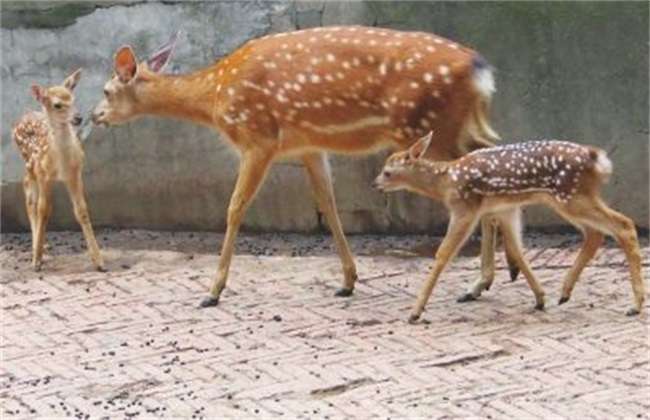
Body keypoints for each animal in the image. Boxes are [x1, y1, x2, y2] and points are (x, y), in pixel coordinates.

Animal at [12, 69, 105, 272]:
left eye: (73, 98)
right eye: (57, 105)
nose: (78, 118)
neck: (61, 163)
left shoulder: (75, 173)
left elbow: (82, 210)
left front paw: (99, 261)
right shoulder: (43, 174)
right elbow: (44, 209)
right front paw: (36, 261)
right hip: (30, 165)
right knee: (30, 200)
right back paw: (37, 249)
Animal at [91, 26, 520, 308]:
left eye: (107, 91)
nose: (92, 116)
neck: (215, 96)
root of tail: (480, 70)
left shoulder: (258, 139)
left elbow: (234, 208)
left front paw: (212, 291)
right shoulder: (310, 145)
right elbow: (327, 204)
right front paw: (348, 280)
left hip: (427, 126)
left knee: (475, 175)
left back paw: (485, 281)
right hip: (461, 125)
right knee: (490, 157)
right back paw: (492, 278)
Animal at [373, 132, 646, 323]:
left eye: (387, 172)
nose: (376, 184)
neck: (446, 182)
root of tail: (597, 159)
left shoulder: (464, 209)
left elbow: (443, 254)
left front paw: (415, 312)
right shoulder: (504, 209)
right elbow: (517, 250)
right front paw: (540, 298)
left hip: (571, 197)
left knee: (623, 225)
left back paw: (635, 305)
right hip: (571, 198)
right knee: (596, 233)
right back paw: (564, 293)